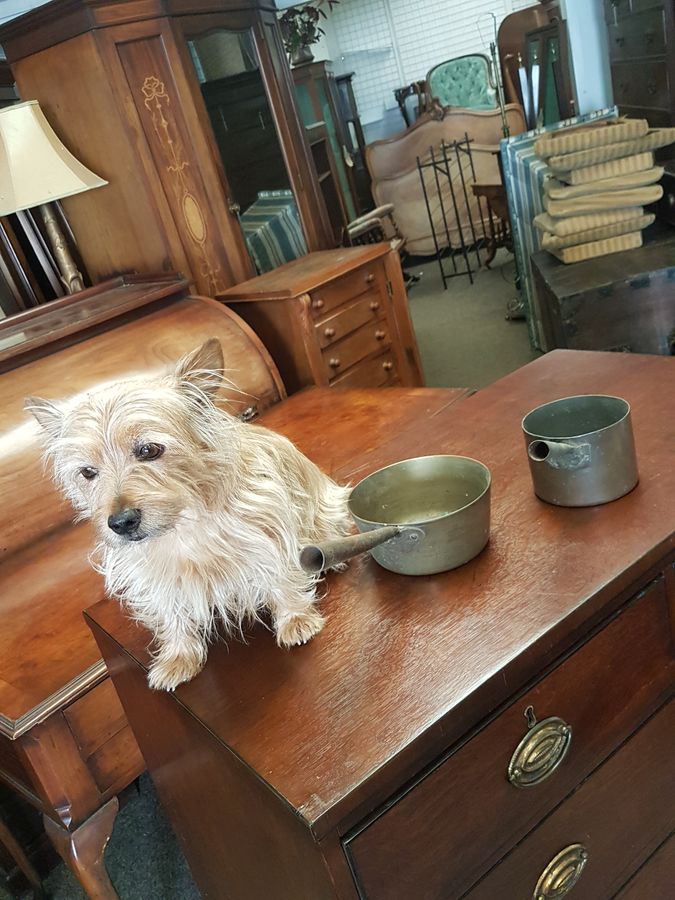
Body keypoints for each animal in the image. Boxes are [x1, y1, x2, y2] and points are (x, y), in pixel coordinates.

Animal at [28, 338, 352, 688]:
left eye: (149, 450)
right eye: (87, 472)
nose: (120, 523)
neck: (184, 524)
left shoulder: (268, 530)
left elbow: (281, 575)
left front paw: (296, 618)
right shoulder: (155, 576)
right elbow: (170, 612)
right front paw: (178, 656)